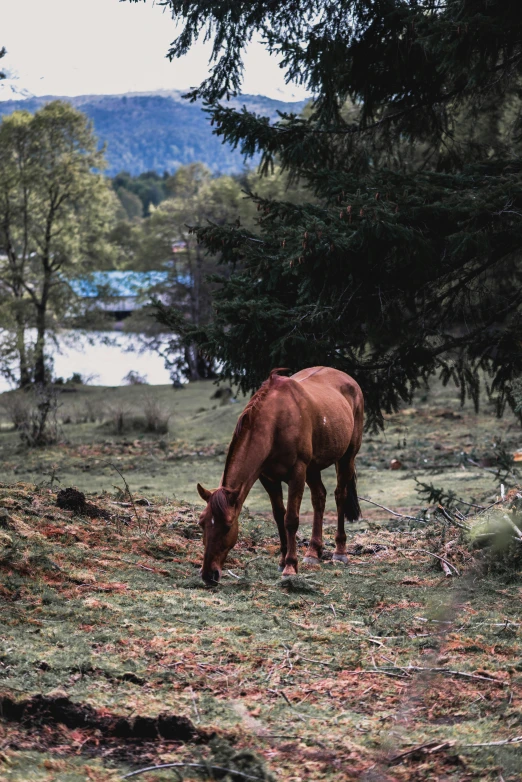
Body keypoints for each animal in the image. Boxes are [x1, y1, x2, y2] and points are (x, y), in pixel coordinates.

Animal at [197, 370, 364, 584]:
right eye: (202, 523)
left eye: (227, 526)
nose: (208, 575)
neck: (276, 421)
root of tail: (349, 379)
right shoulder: (268, 478)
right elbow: (278, 516)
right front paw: (283, 560)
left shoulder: (297, 472)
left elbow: (291, 519)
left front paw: (290, 566)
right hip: (313, 469)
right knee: (319, 497)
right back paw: (313, 552)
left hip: (346, 457)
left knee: (339, 495)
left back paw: (340, 551)